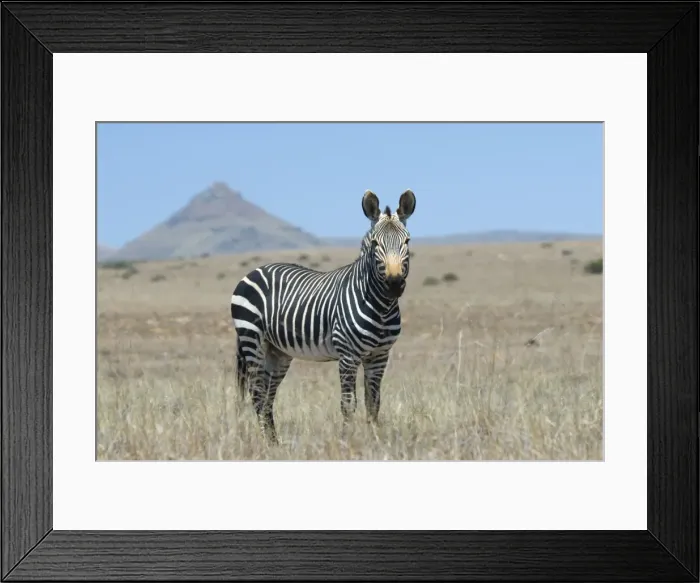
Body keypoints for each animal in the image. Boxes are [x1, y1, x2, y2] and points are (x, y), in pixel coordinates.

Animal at [230, 189, 416, 444]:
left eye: (406, 241)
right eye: (375, 244)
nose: (395, 284)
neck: (381, 307)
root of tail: (256, 270)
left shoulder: (380, 356)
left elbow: (373, 403)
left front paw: (375, 441)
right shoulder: (348, 355)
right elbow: (348, 404)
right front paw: (347, 442)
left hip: (277, 351)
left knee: (268, 396)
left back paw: (275, 443)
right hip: (252, 339)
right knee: (257, 394)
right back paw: (266, 444)